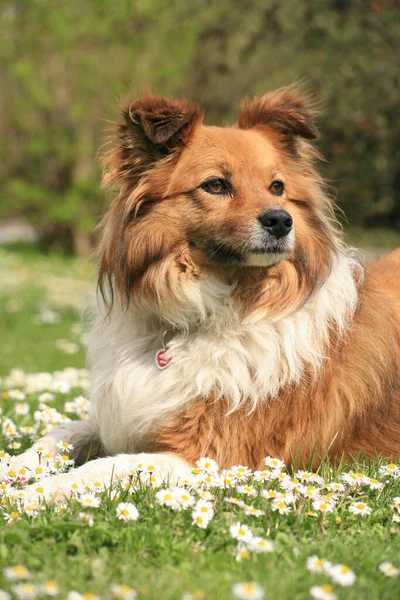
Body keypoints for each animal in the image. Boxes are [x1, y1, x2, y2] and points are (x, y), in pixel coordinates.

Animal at [3, 84, 400, 494]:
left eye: (277, 187)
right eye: (216, 185)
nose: (281, 221)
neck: (205, 313)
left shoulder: (213, 454)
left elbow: (97, 470)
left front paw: (32, 496)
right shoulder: (124, 414)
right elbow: (59, 433)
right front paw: (13, 469)